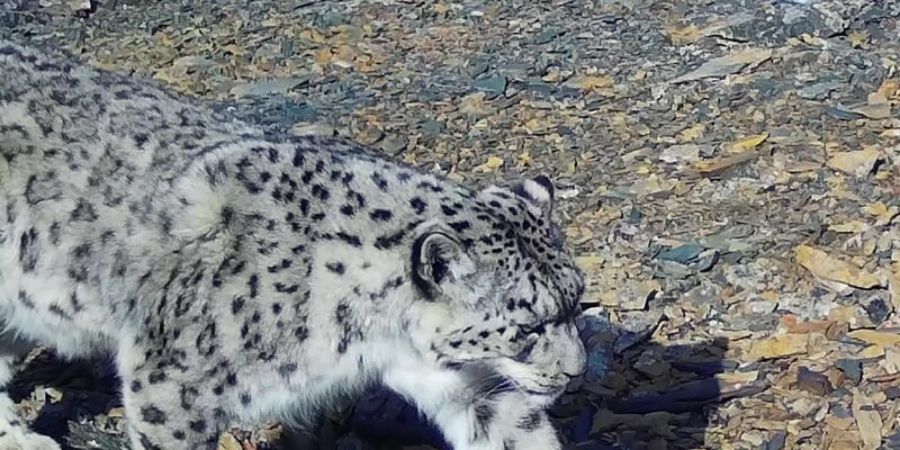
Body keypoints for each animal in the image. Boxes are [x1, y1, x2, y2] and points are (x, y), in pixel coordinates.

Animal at [0, 38, 588, 450]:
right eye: (527, 327)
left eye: (577, 300)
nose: (576, 371)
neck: (372, 333)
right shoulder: (173, 382)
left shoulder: (460, 382)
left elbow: (514, 426)